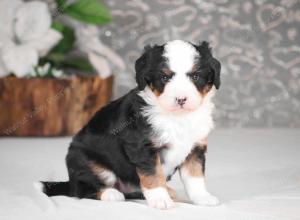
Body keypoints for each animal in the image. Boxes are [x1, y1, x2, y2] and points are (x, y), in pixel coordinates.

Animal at [42, 39, 220, 210]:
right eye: (164, 78)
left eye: (195, 76)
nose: (181, 99)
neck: (178, 118)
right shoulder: (142, 147)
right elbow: (153, 175)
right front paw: (161, 200)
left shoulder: (195, 148)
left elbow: (195, 177)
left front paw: (203, 198)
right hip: (88, 163)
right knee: (81, 189)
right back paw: (111, 194)